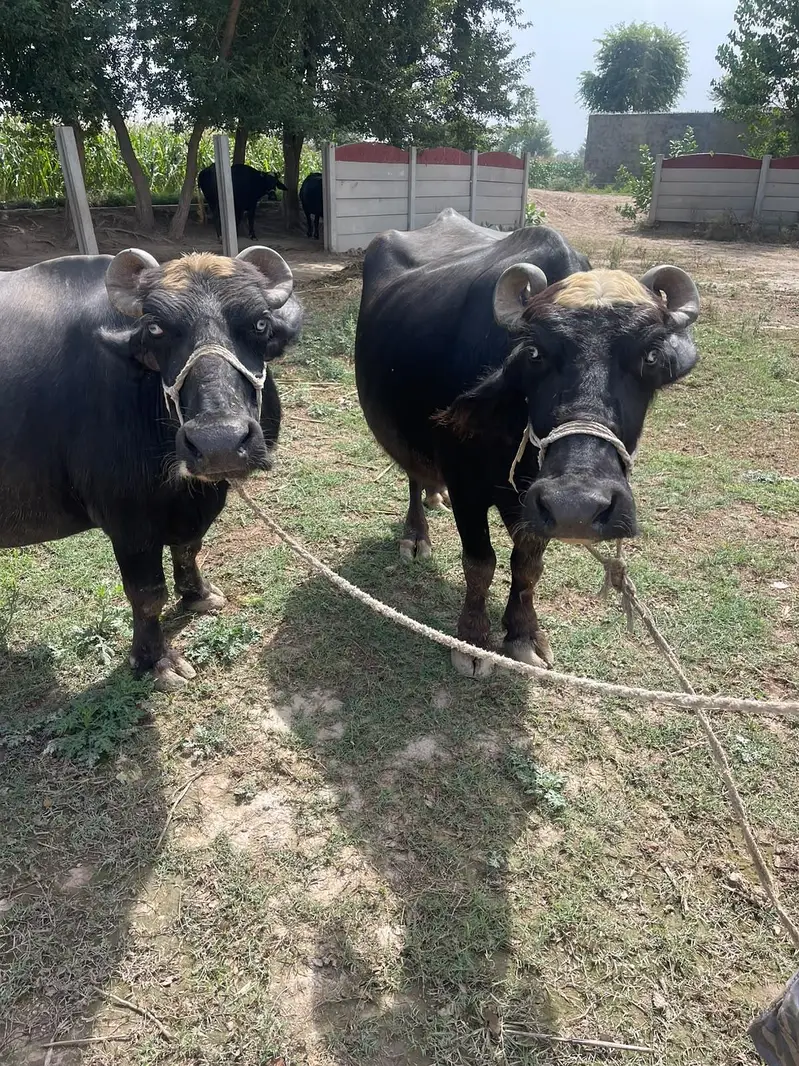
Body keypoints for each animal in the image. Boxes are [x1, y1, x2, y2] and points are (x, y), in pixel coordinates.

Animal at [0, 247, 302, 689]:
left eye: (260, 323)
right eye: (157, 329)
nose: (219, 442)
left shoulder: (192, 505)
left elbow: (189, 547)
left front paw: (198, 596)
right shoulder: (128, 522)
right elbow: (146, 594)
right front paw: (155, 659)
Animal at [355, 209, 700, 676]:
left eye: (650, 356)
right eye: (535, 352)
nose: (577, 506)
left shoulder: (534, 507)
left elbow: (528, 564)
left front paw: (523, 635)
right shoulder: (467, 484)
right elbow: (480, 562)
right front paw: (473, 641)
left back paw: (433, 495)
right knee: (412, 472)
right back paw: (416, 535)